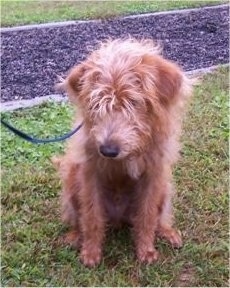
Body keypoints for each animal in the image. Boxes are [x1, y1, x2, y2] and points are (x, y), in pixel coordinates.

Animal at [53, 38, 193, 268]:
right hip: (72, 180)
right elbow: (91, 216)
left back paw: (167, 232)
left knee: (157, 217)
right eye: (97, 105)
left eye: (134, 102)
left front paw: (145, 250)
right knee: (79, 218)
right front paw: (91, 252)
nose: (108, 150)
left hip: (164, 187)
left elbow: (147, 215)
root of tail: (118, 219)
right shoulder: (91, 173)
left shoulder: (153, 173)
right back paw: (75, 236)